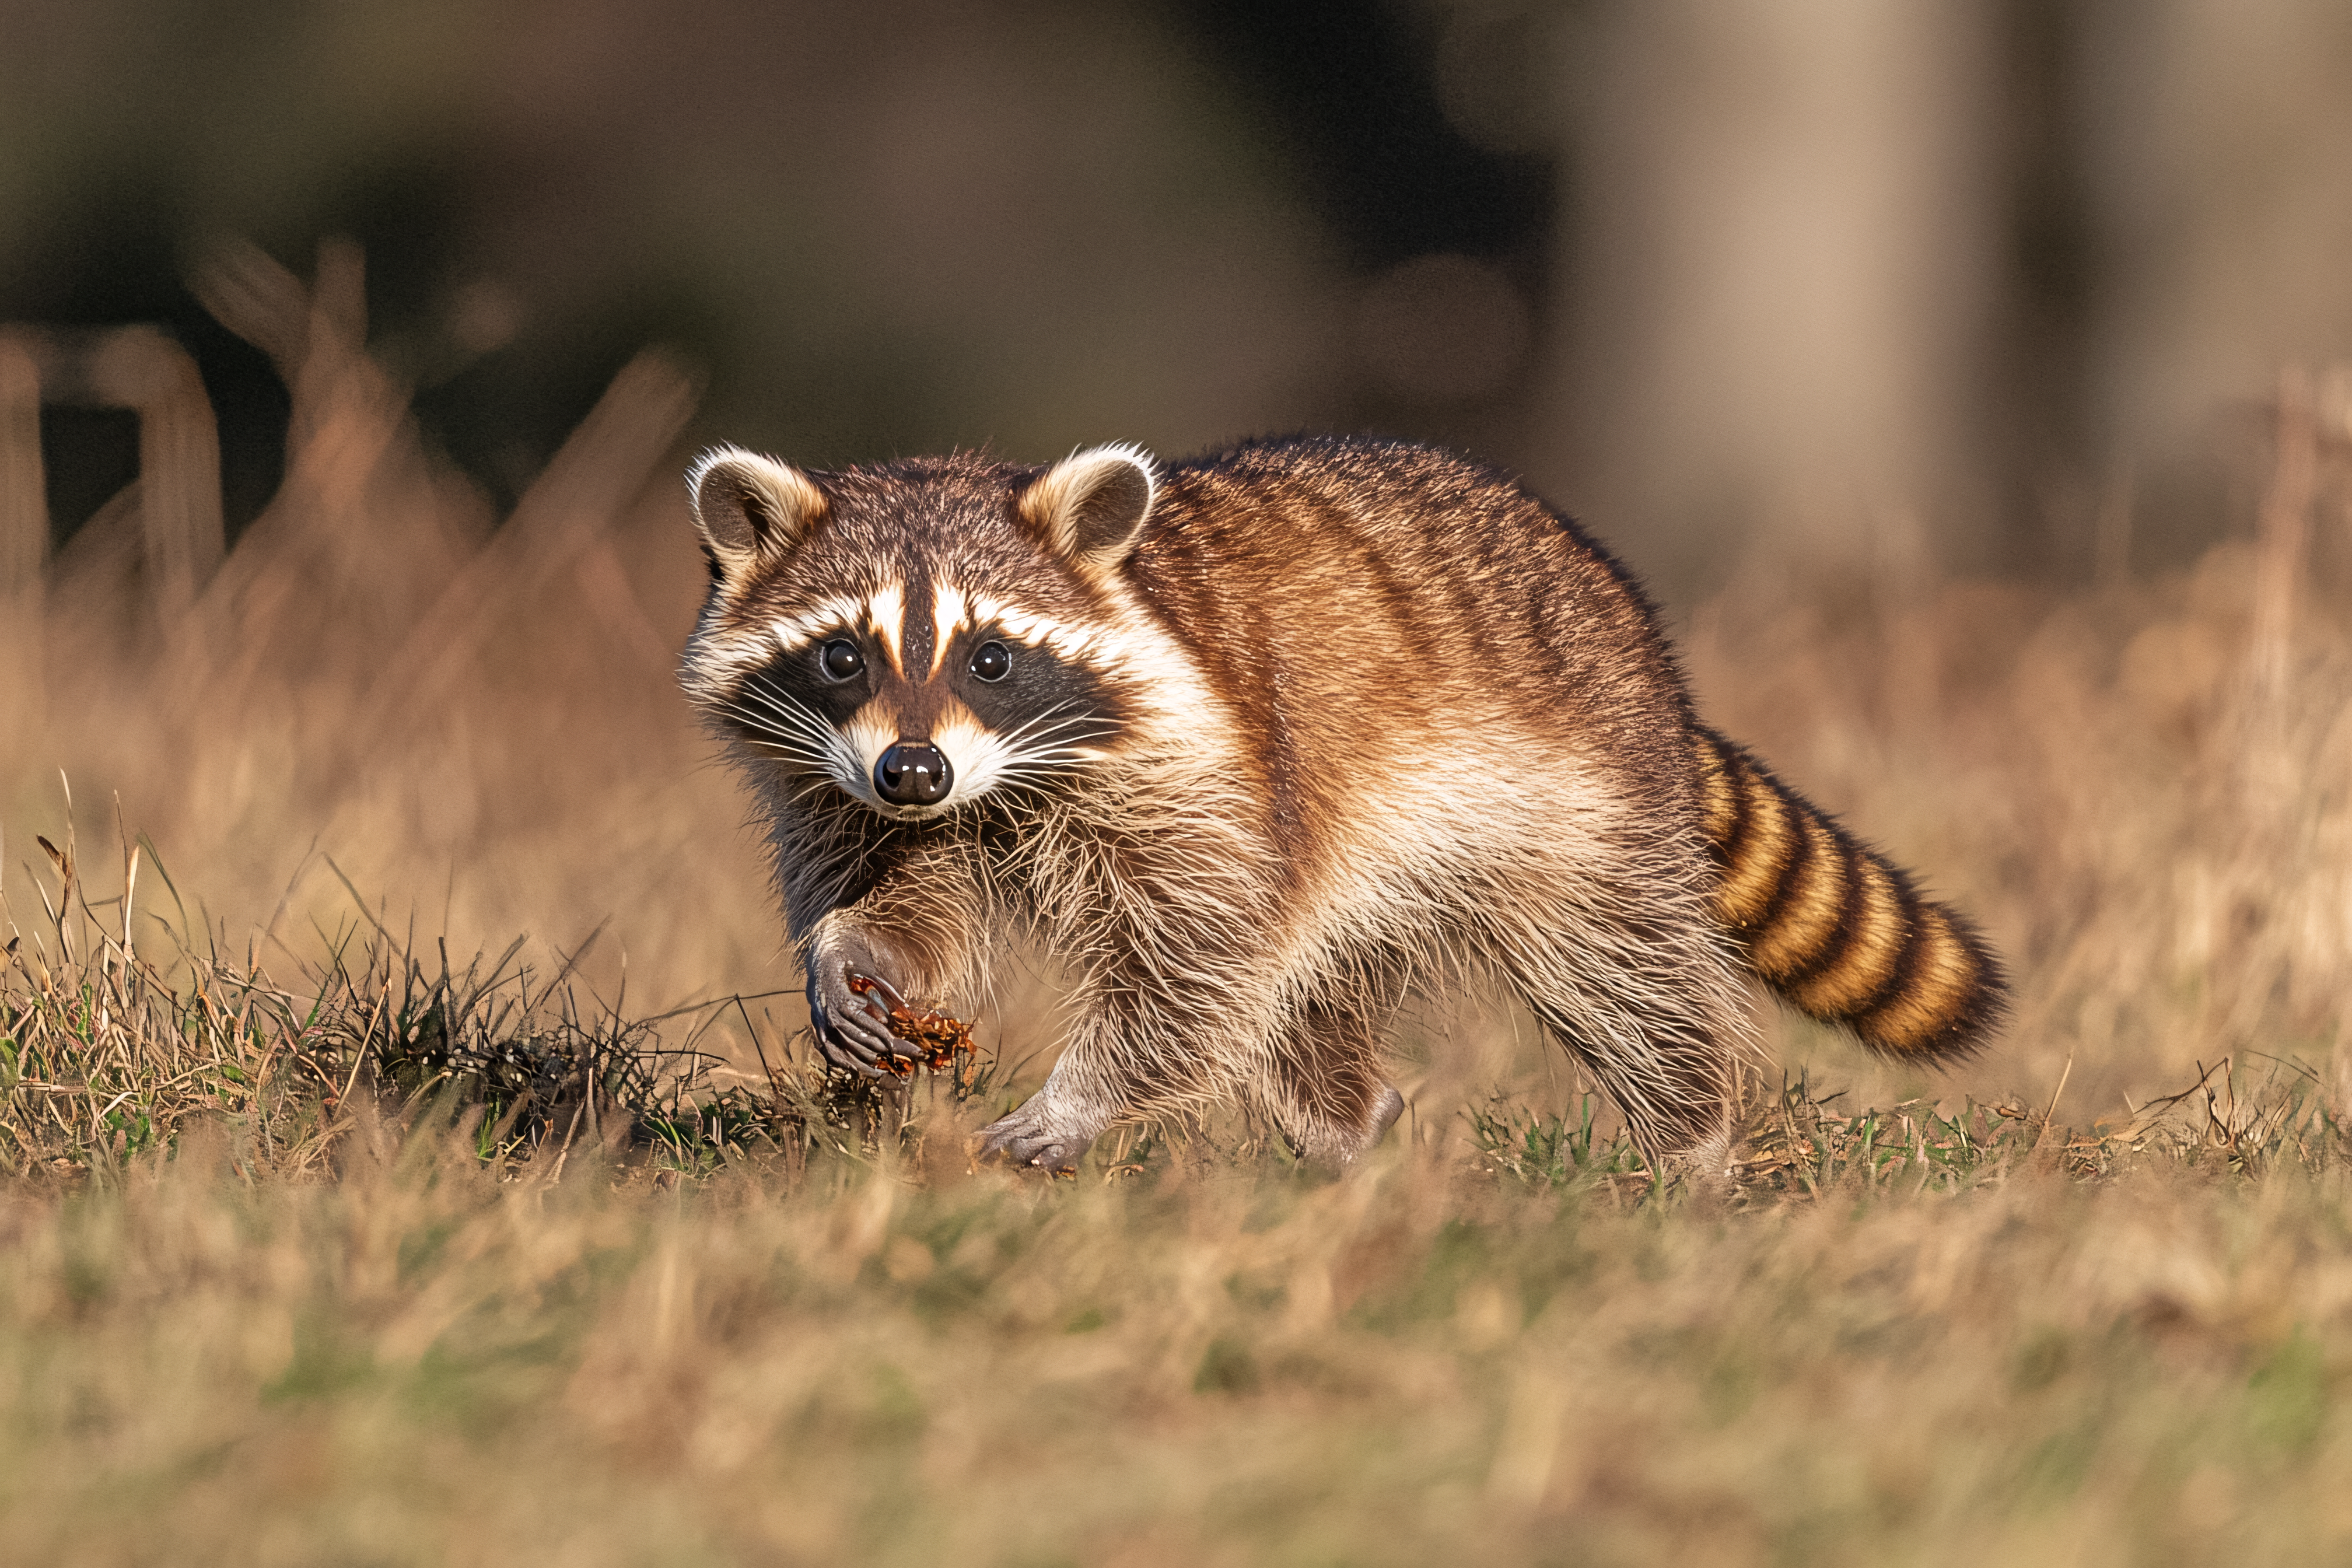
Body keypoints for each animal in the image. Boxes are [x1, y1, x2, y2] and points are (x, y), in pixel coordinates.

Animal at [679, 436, 2002, 1176]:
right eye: (842, 655)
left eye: (991, 657)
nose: (914, 773)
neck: (1000, 780)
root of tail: (1615, 604)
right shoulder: (843, 781)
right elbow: (897, 890)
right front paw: (855, 961)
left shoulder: (1214, 767)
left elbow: (1196, 962)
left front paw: (1083, 1097)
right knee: (1306, 1003)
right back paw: (1348, 1128)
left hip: (1571, 800)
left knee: (1619, 968)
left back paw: (1691, 1139)